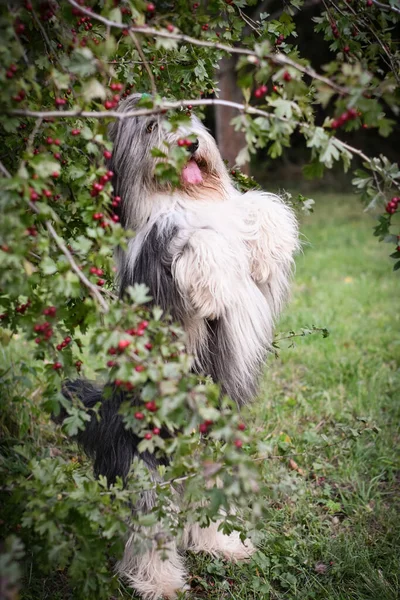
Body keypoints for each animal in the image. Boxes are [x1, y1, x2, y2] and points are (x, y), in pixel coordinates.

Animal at [61, 96, 300, 596]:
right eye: (151, 127)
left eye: (183, 114)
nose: (190, 143)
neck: (184, 197)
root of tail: (107, 412)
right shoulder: (159, 275)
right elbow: (194, 240)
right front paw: (212, 280)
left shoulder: (254, 288)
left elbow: (257, 209)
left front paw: (269, 238)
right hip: (144, 469)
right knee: (148, 529)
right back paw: (159, 581)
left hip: (214, 462)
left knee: (202, 511)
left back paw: (221, 545)